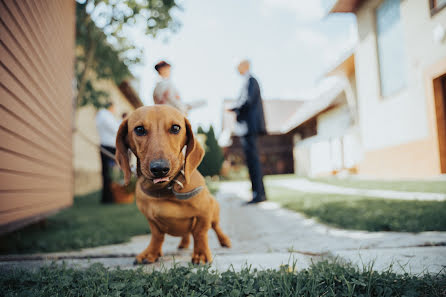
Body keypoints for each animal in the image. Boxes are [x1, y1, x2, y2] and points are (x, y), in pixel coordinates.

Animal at [116, 105, 230, 262]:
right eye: (139, 129)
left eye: (176, 128)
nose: (160, 168)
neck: (164, 190)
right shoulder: (151, 220)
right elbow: (157, 236)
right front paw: (151, 252)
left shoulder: (204, 214)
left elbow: (200, 233)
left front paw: (200, 254)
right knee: (186, 234)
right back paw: (184, 243)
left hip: (214, 212)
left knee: (216, 227)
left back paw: (224, 241)